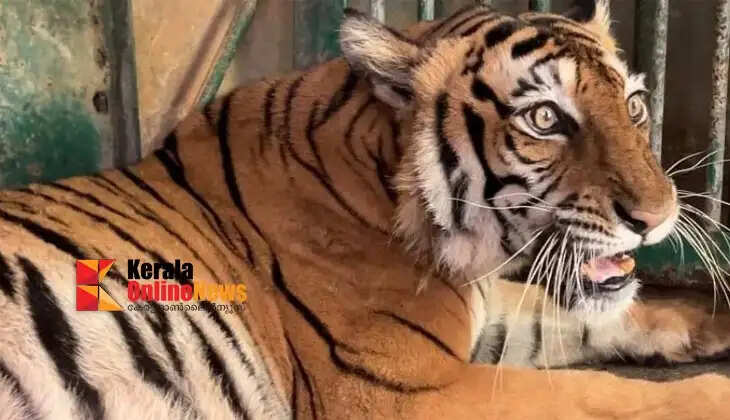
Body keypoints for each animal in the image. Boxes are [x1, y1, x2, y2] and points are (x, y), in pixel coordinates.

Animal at [1, 1, 730, 419]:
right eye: (545, 118)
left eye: (633, 104)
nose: (657, 216)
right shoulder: (408, 391)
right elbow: (599, 392)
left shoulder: (474, 316)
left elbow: (569, 315)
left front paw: (708, 324)